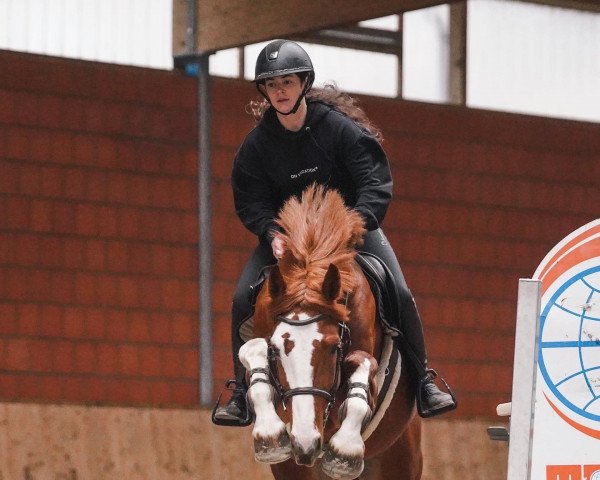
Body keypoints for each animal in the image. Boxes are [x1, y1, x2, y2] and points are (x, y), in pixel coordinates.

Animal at [238, 185, 422, 480]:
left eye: (335, 348)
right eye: (275, 352)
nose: (305, 443)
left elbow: (362, 367)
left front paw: (344, 450)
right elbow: (253, 352)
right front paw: (269, 435)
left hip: (400, 459)